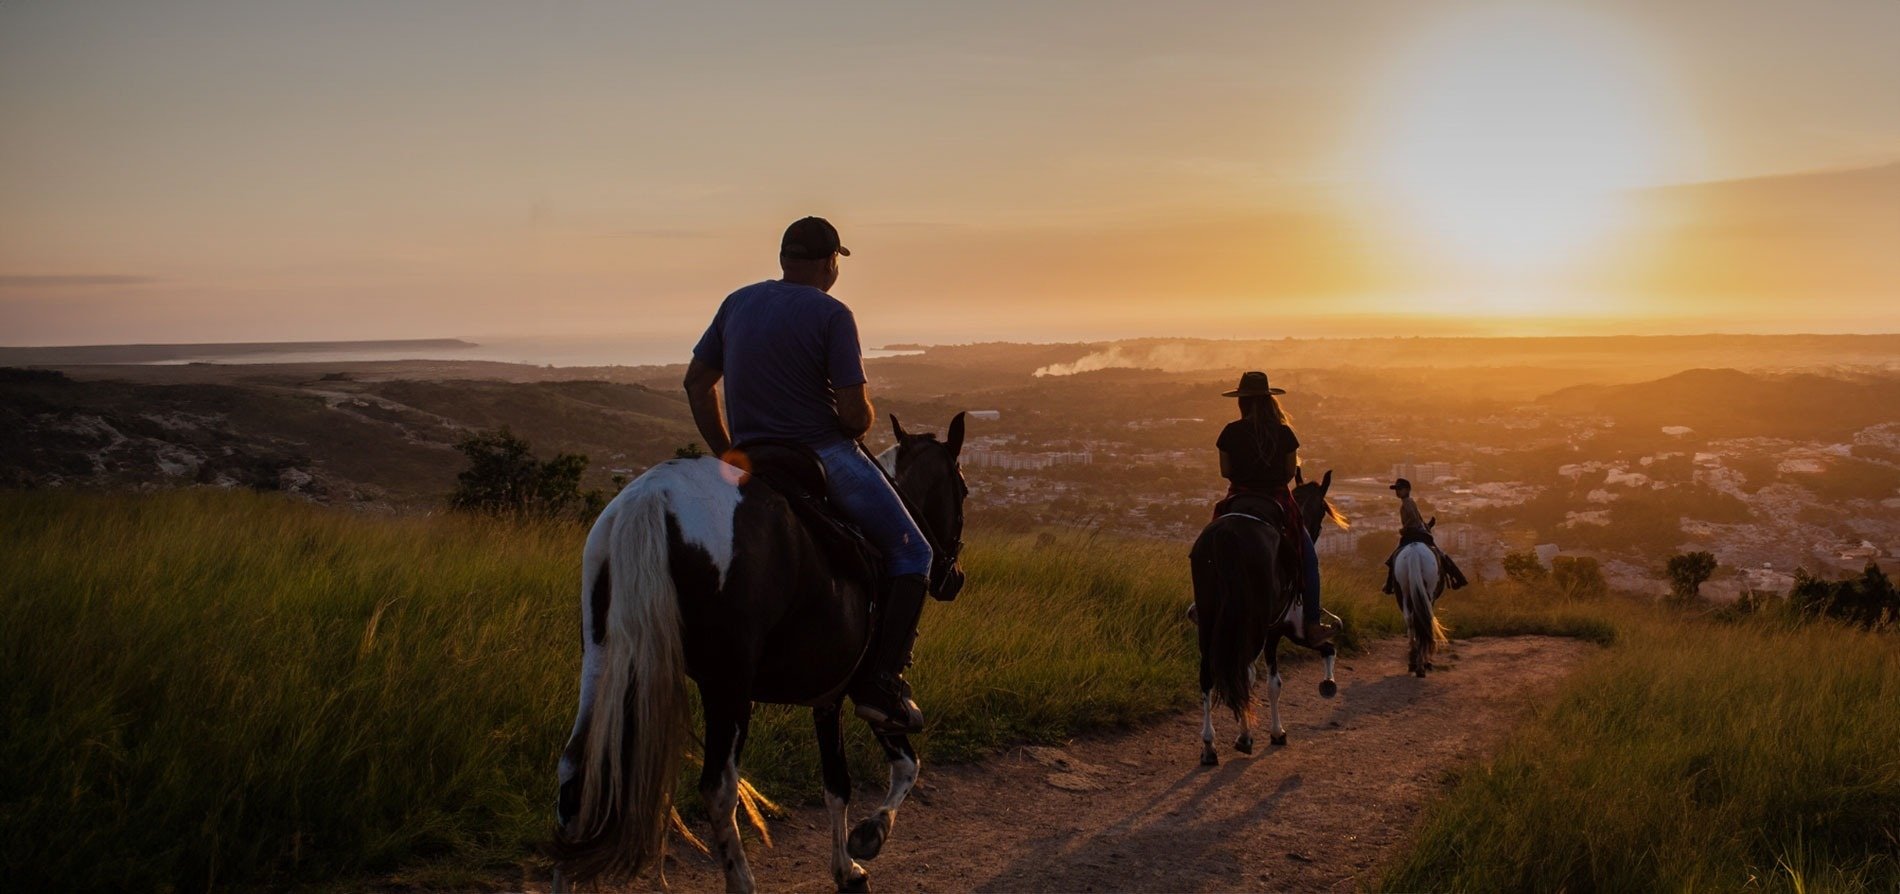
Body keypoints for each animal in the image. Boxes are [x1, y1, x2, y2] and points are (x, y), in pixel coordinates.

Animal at [547, 413, 965, 894]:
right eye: (963, 489)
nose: (953, 578)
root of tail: (653, 497)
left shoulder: (826, 697)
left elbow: (836, 784)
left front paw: (846, 867)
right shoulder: (864, 691)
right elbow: (905, 765)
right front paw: (868, 837)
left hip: (602, 658)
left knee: (574, 772)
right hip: (727, 684)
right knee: (718, 788)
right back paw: (742, 880)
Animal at [1185, 472, 1352, 766]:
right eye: (1322, 510)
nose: (1315, 533)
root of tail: (1228, 535)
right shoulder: (1278, 631)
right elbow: (1275, 683)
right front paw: (1276, 732)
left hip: (1209, 617)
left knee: (1208, 674)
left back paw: (1209, 746)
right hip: (1253, 623)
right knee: (1242, 671)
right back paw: (1243, 737)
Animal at [1390, 539, 1444, 679]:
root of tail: (1414, 551)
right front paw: (1427, 661)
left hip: (1402, 591)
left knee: (1410, 619)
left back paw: (1413, 662)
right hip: (1428, 592)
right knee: (1424, 620)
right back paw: (1421, 665)